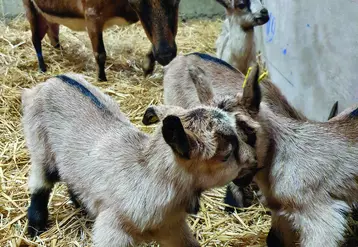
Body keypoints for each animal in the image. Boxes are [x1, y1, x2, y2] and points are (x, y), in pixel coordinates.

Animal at [21, 73, 258, 245]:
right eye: (226, 155)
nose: (255, 164)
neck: (148, 175)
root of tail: (53, 79)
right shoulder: (112, 231)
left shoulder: (173, 227)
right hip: (40, 145)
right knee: (40, 183)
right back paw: (34, 228)